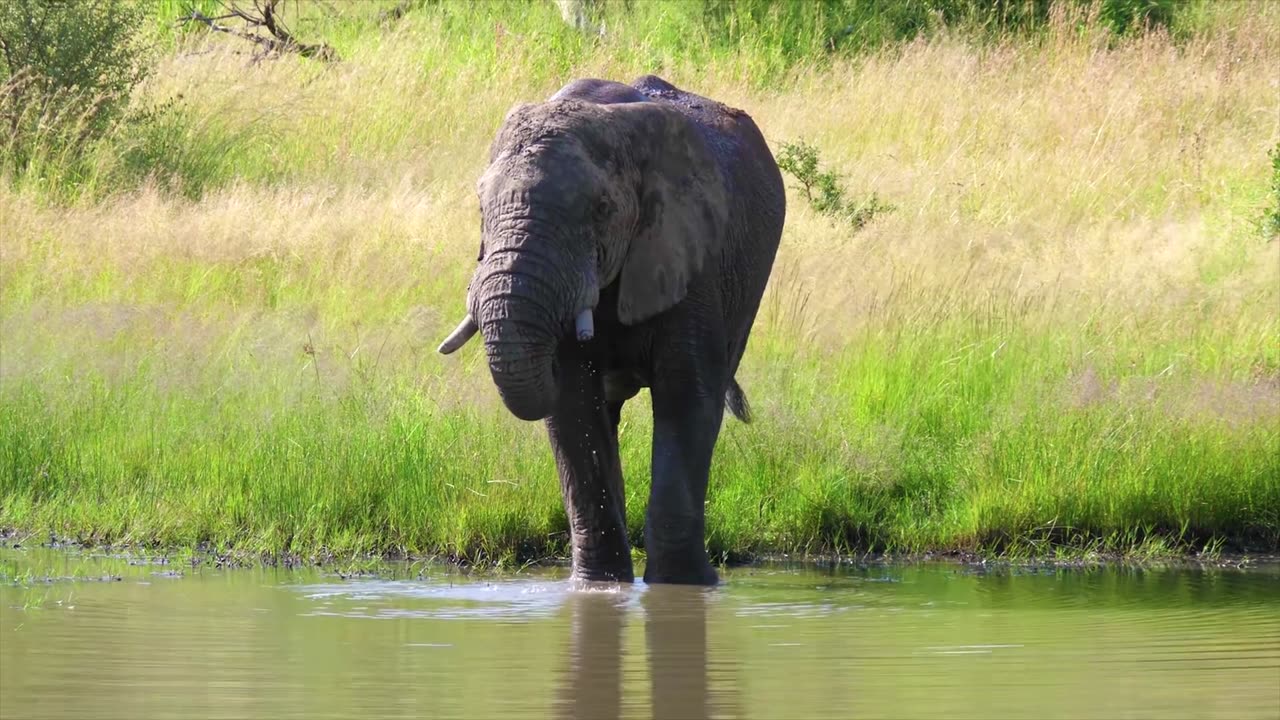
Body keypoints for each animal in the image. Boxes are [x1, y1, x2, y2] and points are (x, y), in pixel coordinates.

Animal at [435, 73, 783, 584]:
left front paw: (684, 586)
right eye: (481, 208)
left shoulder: (690, 257)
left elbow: (688, 396)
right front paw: (599, 587)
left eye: (601, 209)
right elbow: (574, 407)